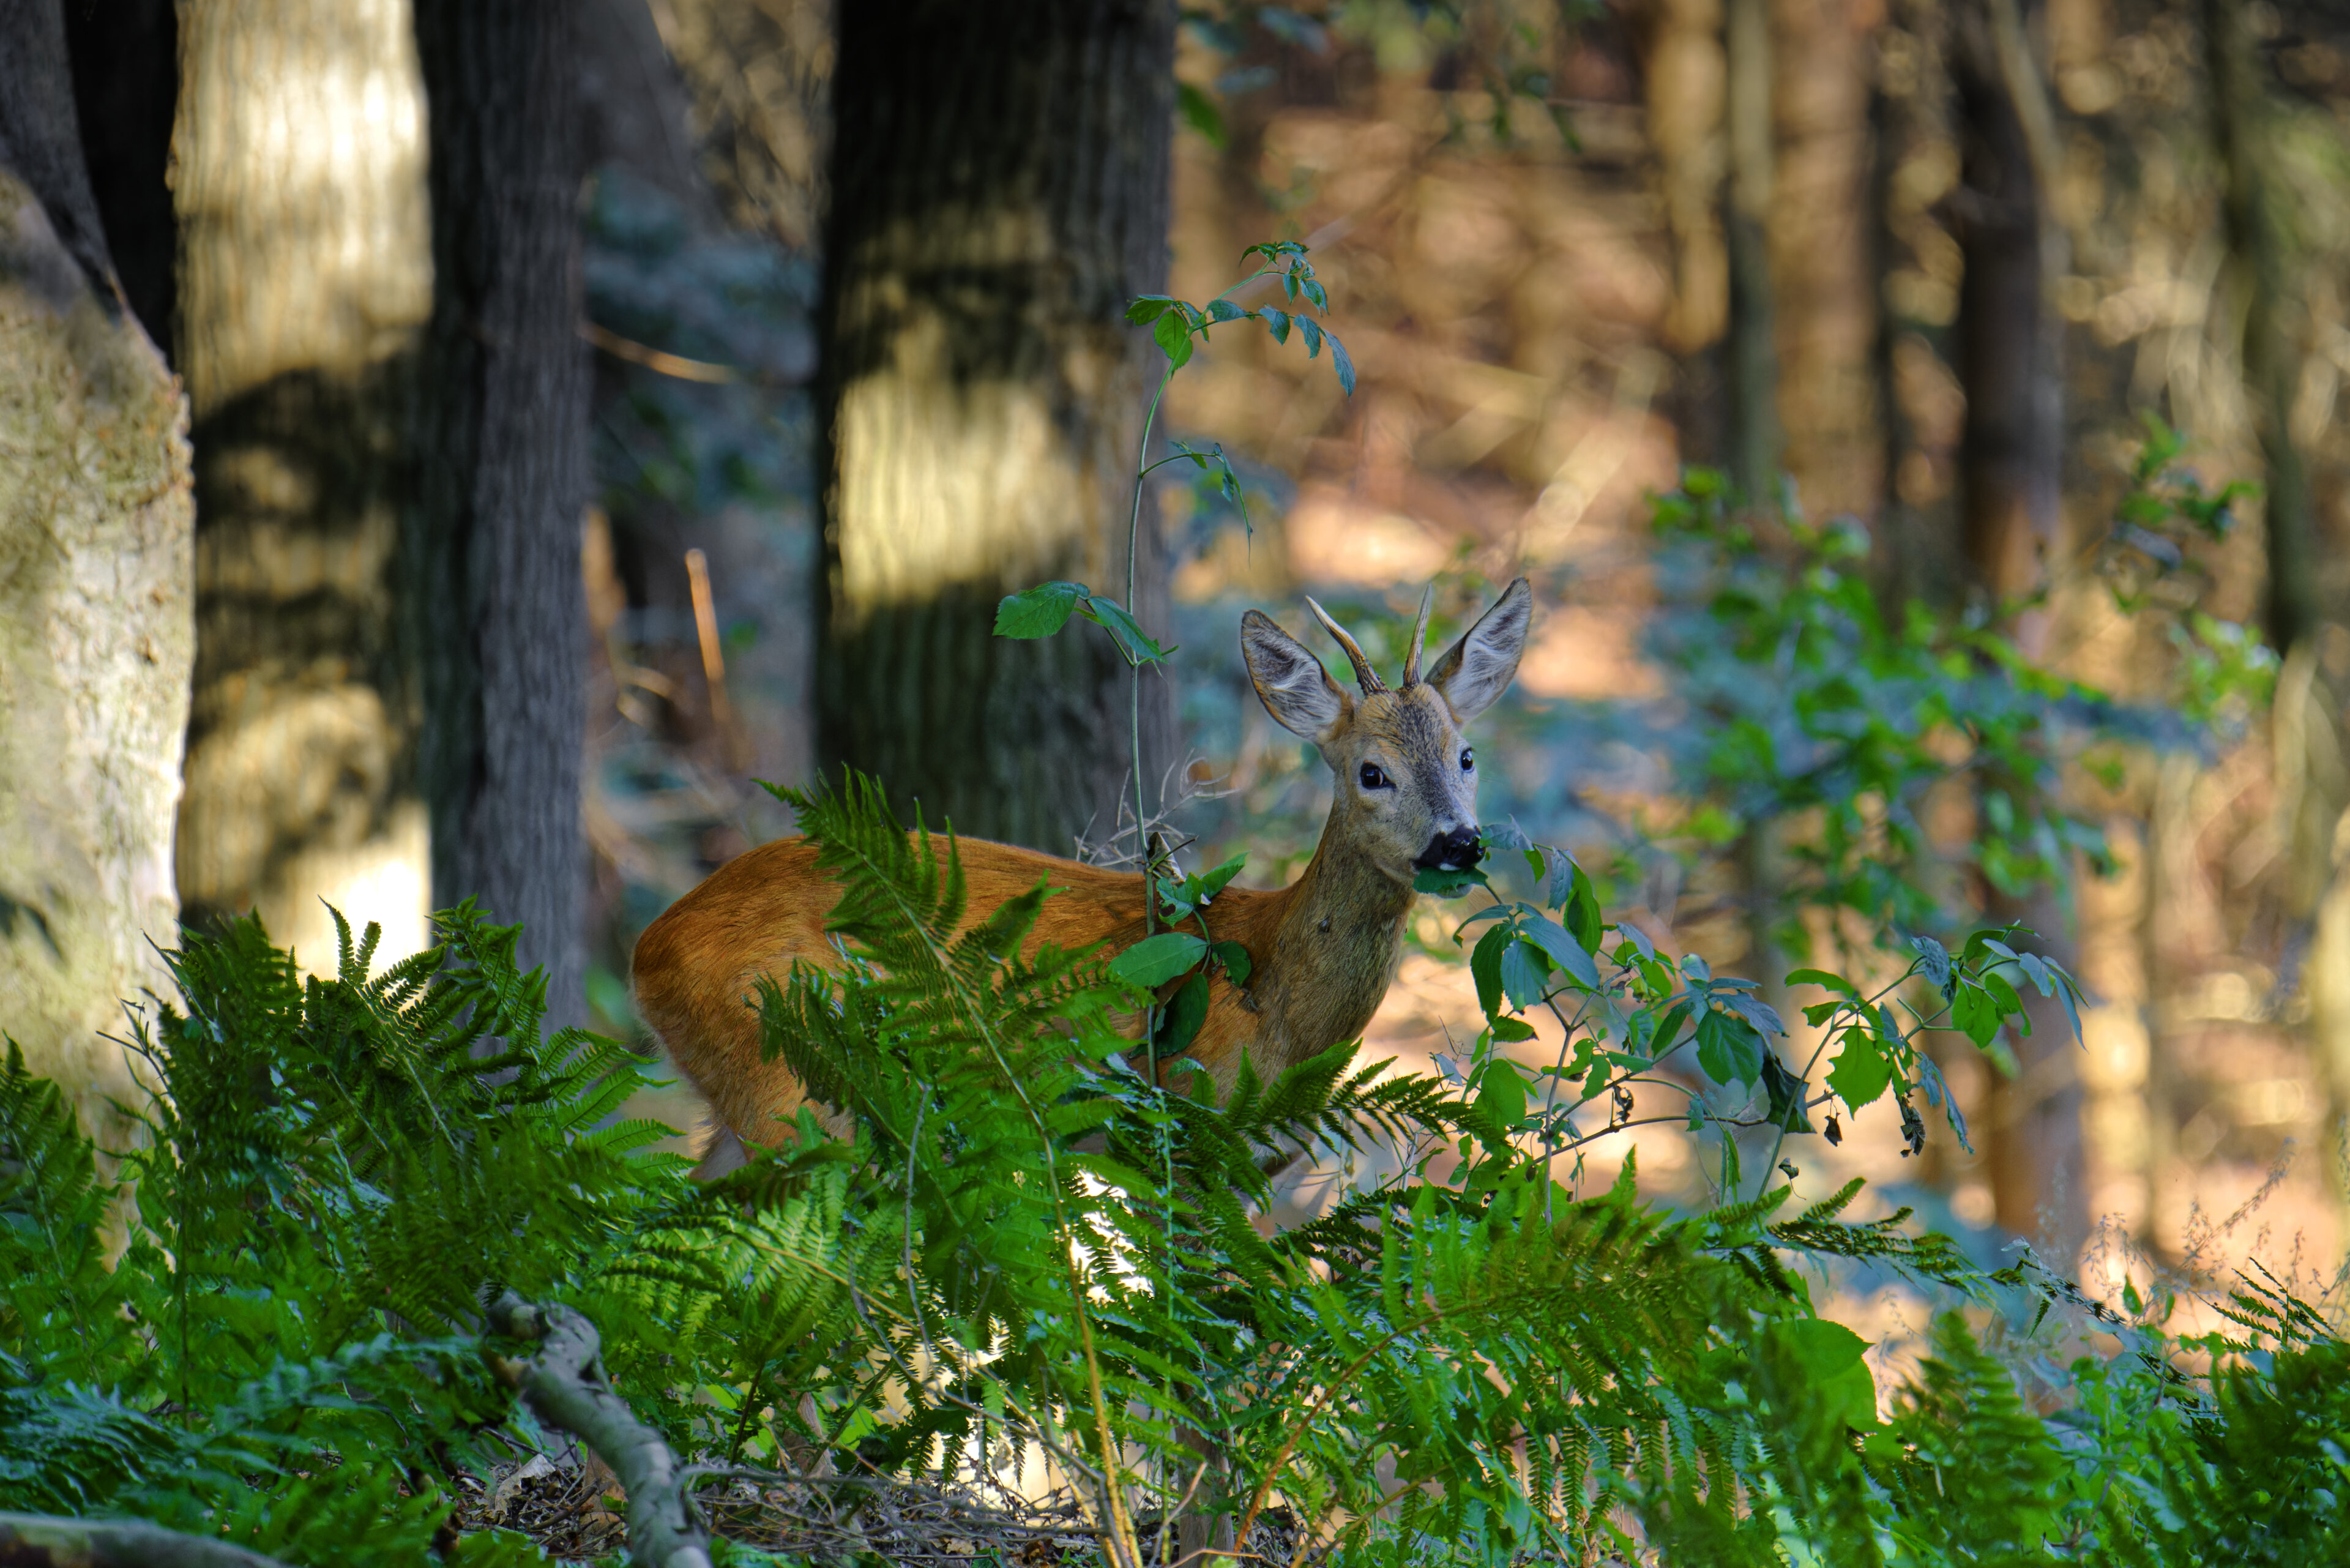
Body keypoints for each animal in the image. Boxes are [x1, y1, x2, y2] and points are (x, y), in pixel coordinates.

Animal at [634, 576, 1532, 1166]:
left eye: (1467, 756)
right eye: (1372, 771)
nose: (1459, 843)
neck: (1277, 1004)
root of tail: (649, 948)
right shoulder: (1178, 1129)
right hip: (786, 1078)